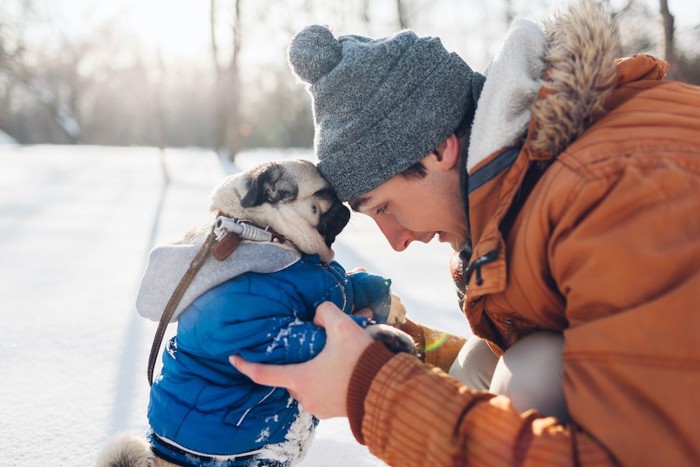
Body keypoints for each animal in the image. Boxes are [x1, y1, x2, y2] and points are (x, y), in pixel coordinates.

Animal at [100, 159, 416, 466]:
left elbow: (348, 285)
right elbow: (307, 336)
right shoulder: (260, 323)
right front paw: (383, 335)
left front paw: (387, 300)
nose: (346, 204)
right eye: (326, 193)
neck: (266, 232)